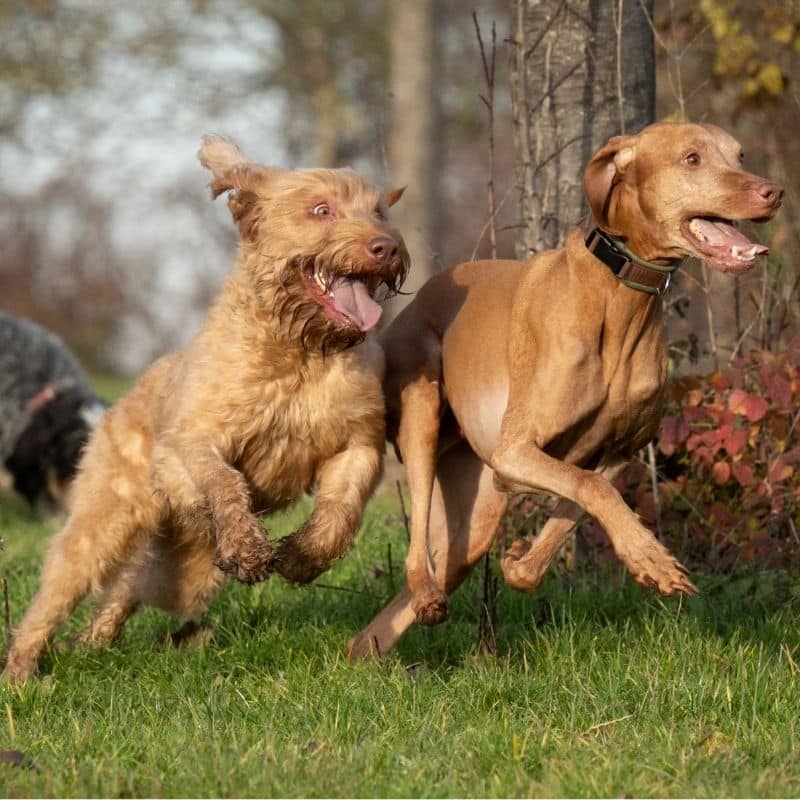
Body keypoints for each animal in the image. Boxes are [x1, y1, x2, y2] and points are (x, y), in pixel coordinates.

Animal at [3, 136, 410, 680]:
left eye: (379, 211)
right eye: (321, 210)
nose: (387, 247)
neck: (301, 351)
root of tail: (110, 407)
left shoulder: (357, 444)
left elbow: (341, 512)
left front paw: (301, 557)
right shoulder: (193, 442)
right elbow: (223, 480)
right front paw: (245, 545)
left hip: (183, 568)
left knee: (130, 586)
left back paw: (91, 642)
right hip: (106, 521)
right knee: (58, 590)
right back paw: (22, 672)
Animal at [348, 120, 780, 656]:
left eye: (739, 155)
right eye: (692, 158)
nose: (774, 192)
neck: (619, 298)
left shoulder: (616, 452)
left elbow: (574, 508)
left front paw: (521, 562)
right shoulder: (515, 452)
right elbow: (590, 487)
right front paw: (653, 558)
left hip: (477, 512)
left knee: (411, 591)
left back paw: (365, 650)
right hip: (422, 408)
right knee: (417, 544)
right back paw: (424, 596)